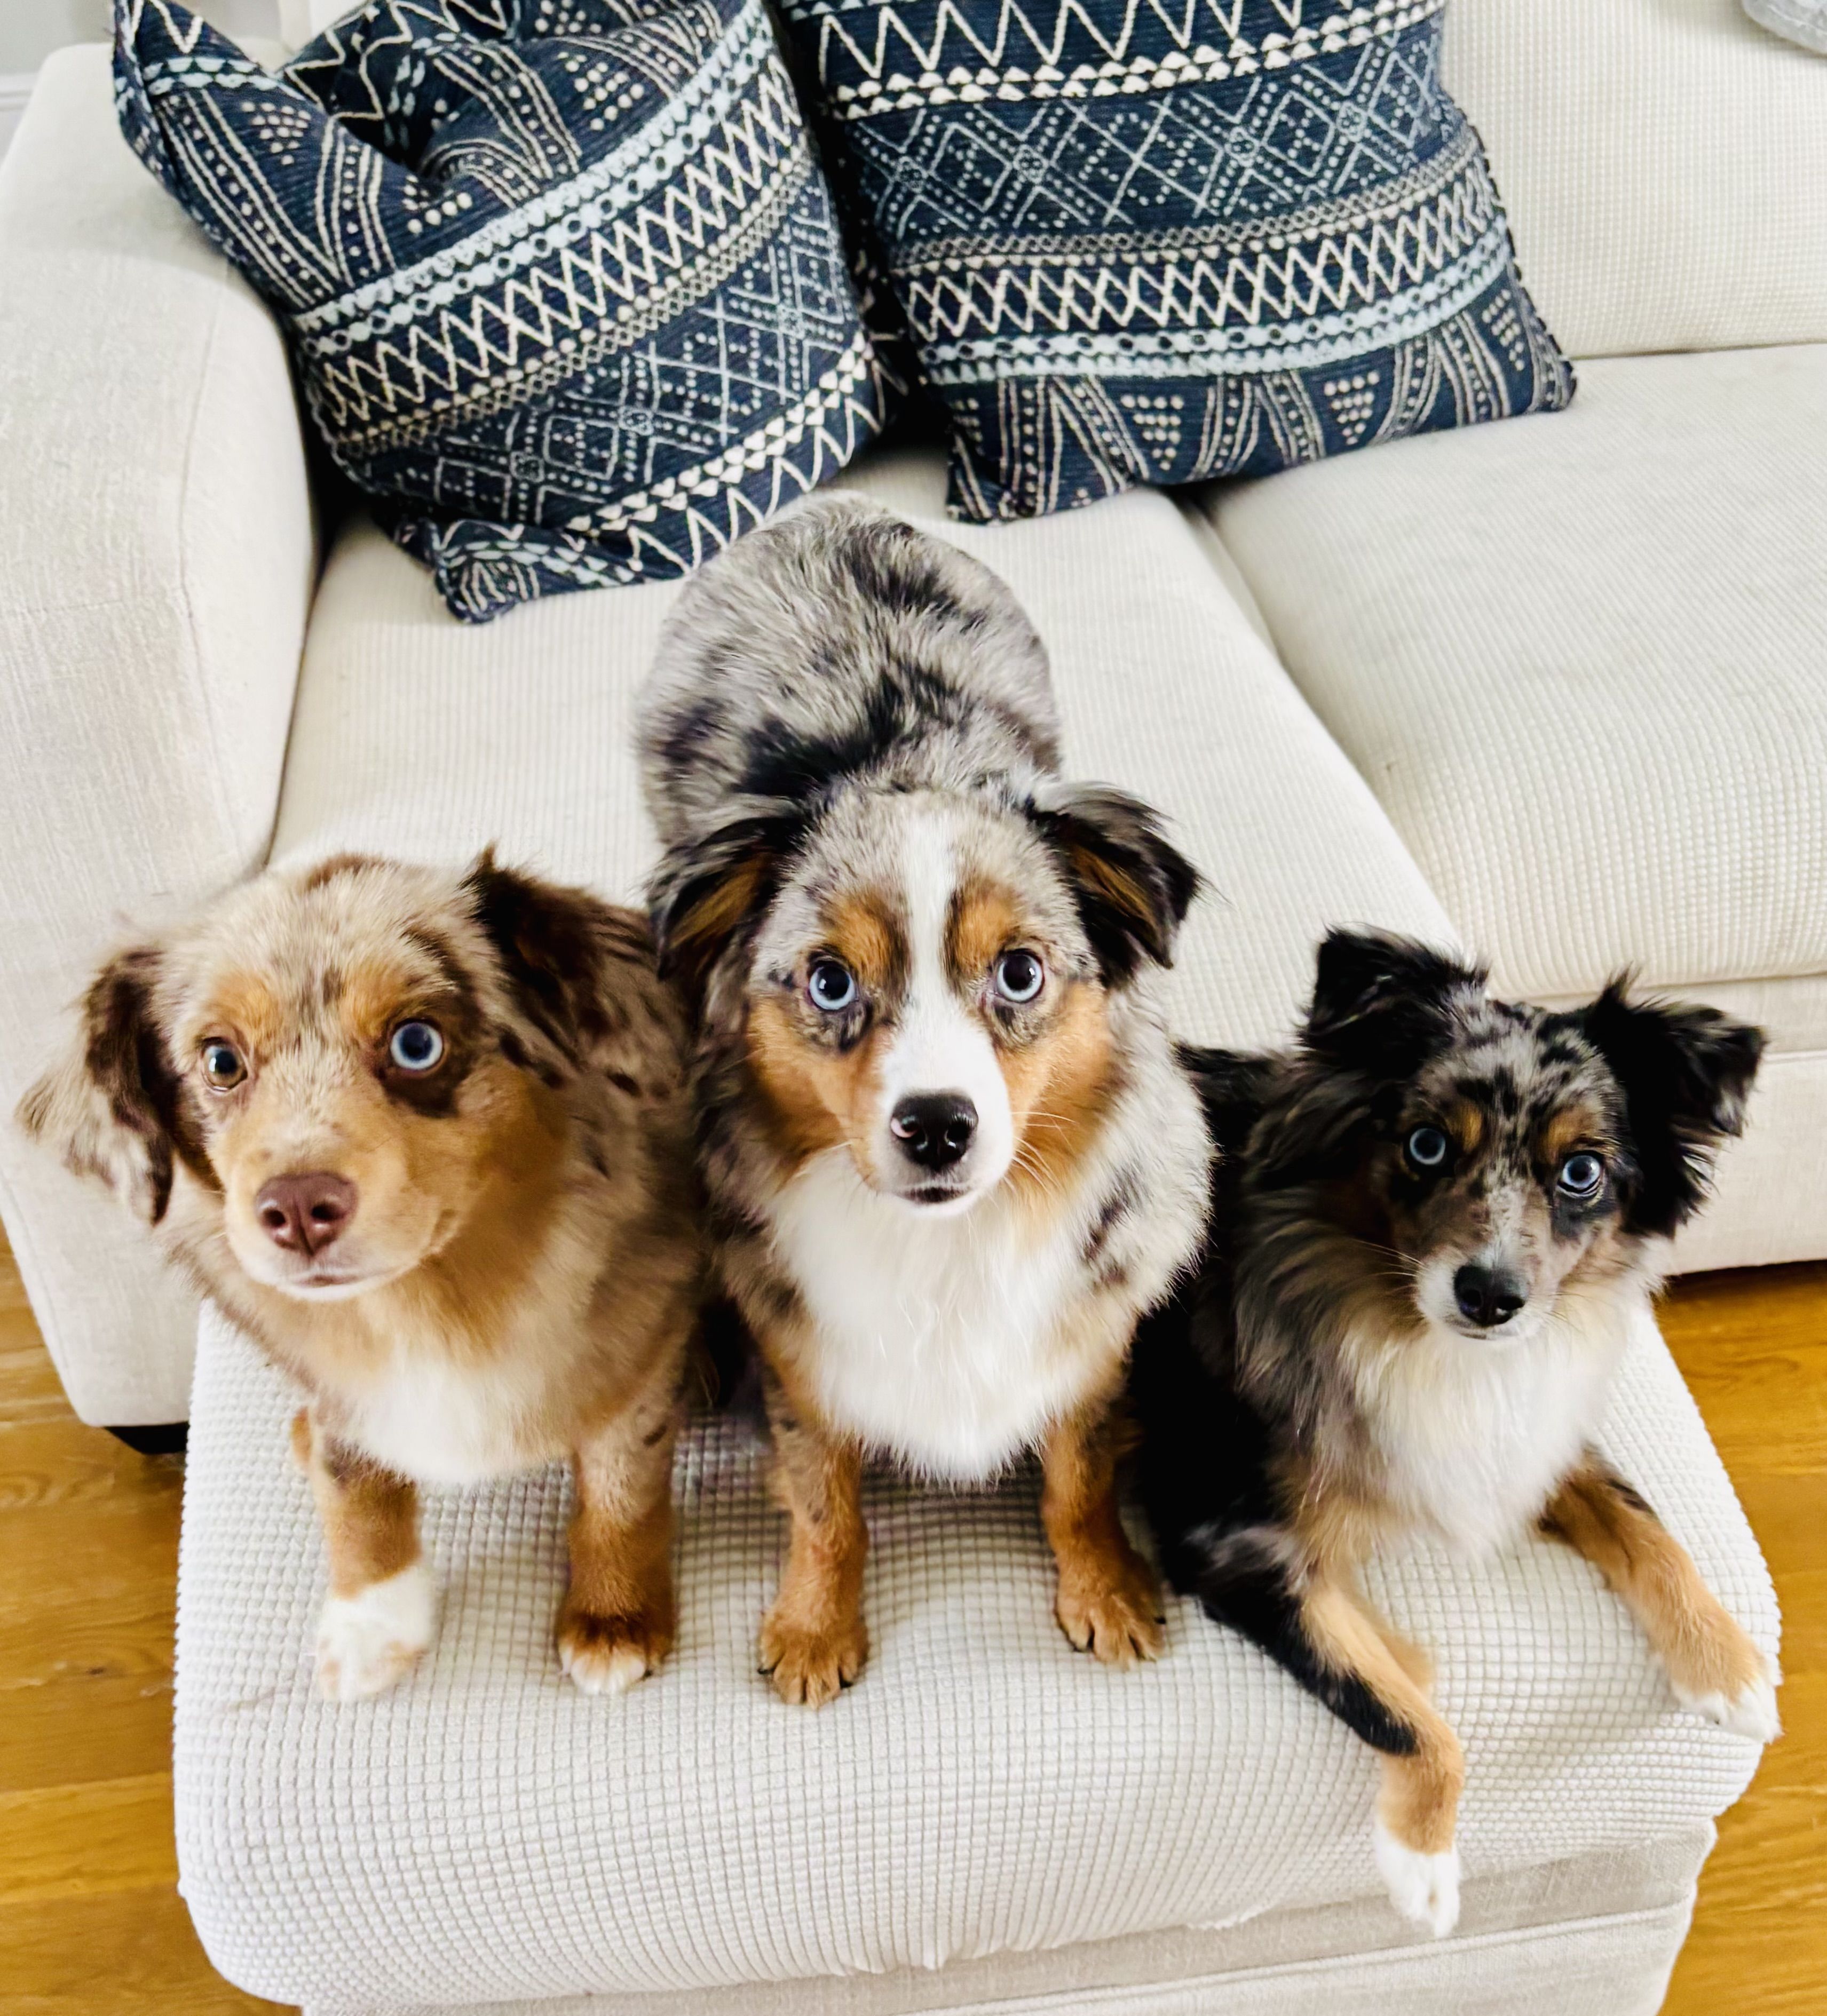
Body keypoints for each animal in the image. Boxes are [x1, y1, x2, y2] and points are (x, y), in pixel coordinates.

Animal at [19, 852, 701, 1701]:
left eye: (416, 1042)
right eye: (220, 1060)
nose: (296, 1208)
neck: (430, 1306)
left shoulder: (642, 1342)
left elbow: (620, 1487)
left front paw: (614, 1616)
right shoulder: (336, 1378)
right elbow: (355, 1485)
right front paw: (373, 1623)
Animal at [637, 496, 1211, 1705]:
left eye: (1021, 971)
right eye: (828, 981)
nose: (938, 1125)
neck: (943, 1245)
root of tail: (829, 508)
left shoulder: (1089, 1326)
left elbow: (1078, 1472)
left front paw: (1104, 1591)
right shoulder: (805, 1343)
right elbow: (824, 1498)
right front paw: (813, 1628)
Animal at [1129, 928, 1777, 1937]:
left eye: (1580, 1172)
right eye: (1426, 1145)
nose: (1489, 1295)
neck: (1398, 1324)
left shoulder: (1531, 1435)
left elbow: (1643, 1522)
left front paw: (1730, 1665)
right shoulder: (1223, 1535)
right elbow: (1401, 1709)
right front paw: (1423, 1864)